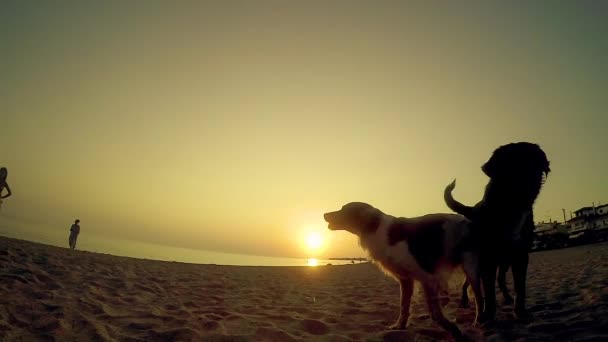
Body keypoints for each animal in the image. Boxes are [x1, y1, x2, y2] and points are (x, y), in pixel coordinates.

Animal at [326, 203, 482, 340]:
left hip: (470, 268)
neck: (376, 228)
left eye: (343, 210)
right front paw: (400, 326)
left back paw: (479, 321)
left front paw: (453, 330)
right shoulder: (406, 279)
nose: (324, 214)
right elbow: (404, 306)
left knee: (478, 298)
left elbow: (435, 312)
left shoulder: (428, 278)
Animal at [444, 141, 548, 320]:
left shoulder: (520, 255)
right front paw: (488, 315)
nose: (530, 177)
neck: (509, 207)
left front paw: (520, 312)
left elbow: (520, 287)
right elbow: (489, 291)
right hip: (475, 261)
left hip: (504, 261)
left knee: (499, 280)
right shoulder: (487, 258)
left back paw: (506, 298)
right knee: (470, 284)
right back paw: (467, 302)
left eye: (534, 160)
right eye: (510, 161)